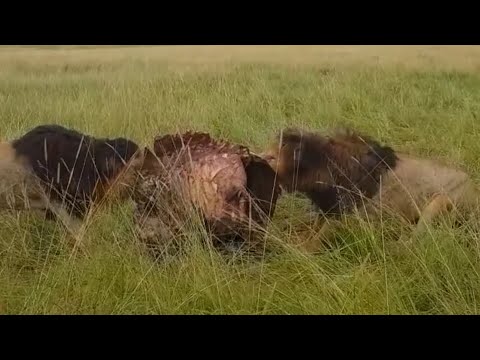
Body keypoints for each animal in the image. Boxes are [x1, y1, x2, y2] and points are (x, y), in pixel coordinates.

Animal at [262, 126, 480, 253]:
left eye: (272, 157)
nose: (260, 155)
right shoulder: (327, 210)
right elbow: (309, 227)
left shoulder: (348, 217)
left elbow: (314, 241)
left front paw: (295, 248)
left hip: (440, 201)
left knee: (415, 241)